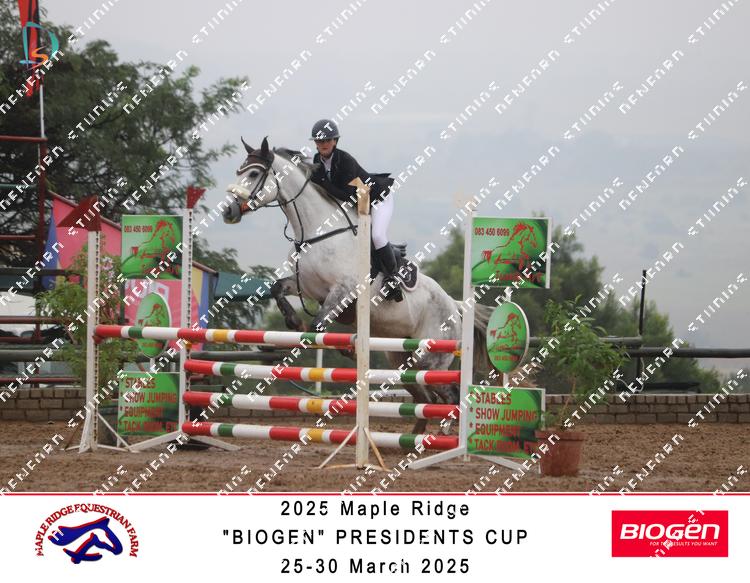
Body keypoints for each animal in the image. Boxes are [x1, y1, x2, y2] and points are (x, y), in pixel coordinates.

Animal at [223, 137, 493, 433]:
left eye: (253, 174)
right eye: (239, 171)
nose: (228, 211)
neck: (317, 231)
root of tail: (454, 305)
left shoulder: (343, 290)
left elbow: (317, 326)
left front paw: (345, 348)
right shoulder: (305, 286)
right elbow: (277, 289)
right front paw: (295, 322)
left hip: (431, 359)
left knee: (449, 394)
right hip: (401, 360)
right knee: (426, 397)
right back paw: (414, 437)